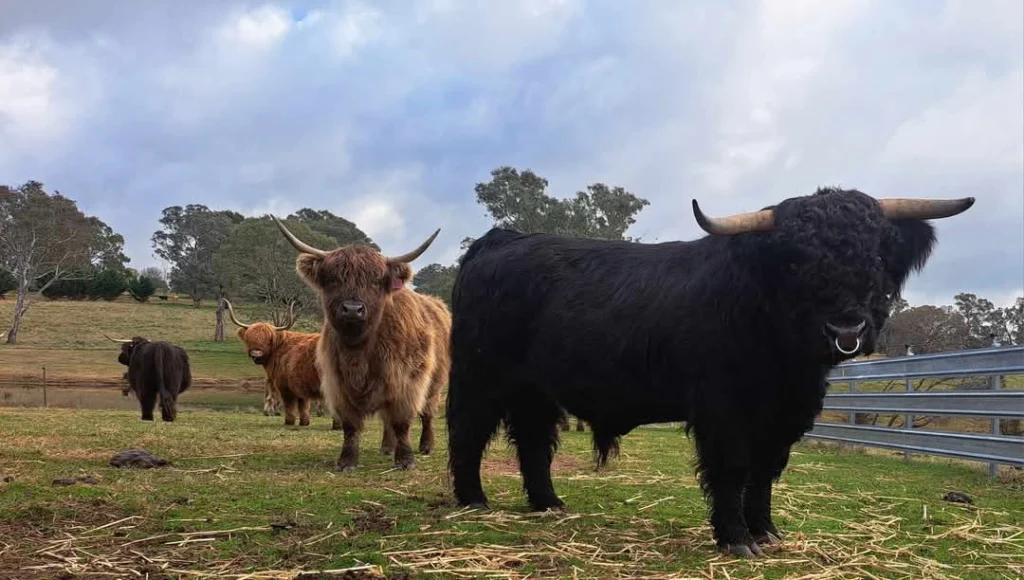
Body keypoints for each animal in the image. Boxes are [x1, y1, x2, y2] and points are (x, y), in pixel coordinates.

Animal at [271, 215, 450, 471]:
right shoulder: (338, 384)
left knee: (427, 414)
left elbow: (402, 422)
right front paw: (346, 461)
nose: (353, 309)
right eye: (333, 279)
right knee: (386, 420)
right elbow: (351, 426)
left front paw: (405, 460)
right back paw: (386, 447)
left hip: (435, 384)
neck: (360, 350)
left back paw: (425, 446)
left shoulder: (407, 383)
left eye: (376, 281)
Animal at [444, 188, 974, 557]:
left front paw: (767, 531)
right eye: (795, 261)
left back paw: (547, 502)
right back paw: (473, 500)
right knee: (468, 431)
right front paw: (736, 538)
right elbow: (733, 471)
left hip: (535, 389)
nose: (846, 328)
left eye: (877, 255)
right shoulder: (724, 411)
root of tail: (503, 239)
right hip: (479, 375)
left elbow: (764, 474)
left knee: (533, 441)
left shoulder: (781, 418)